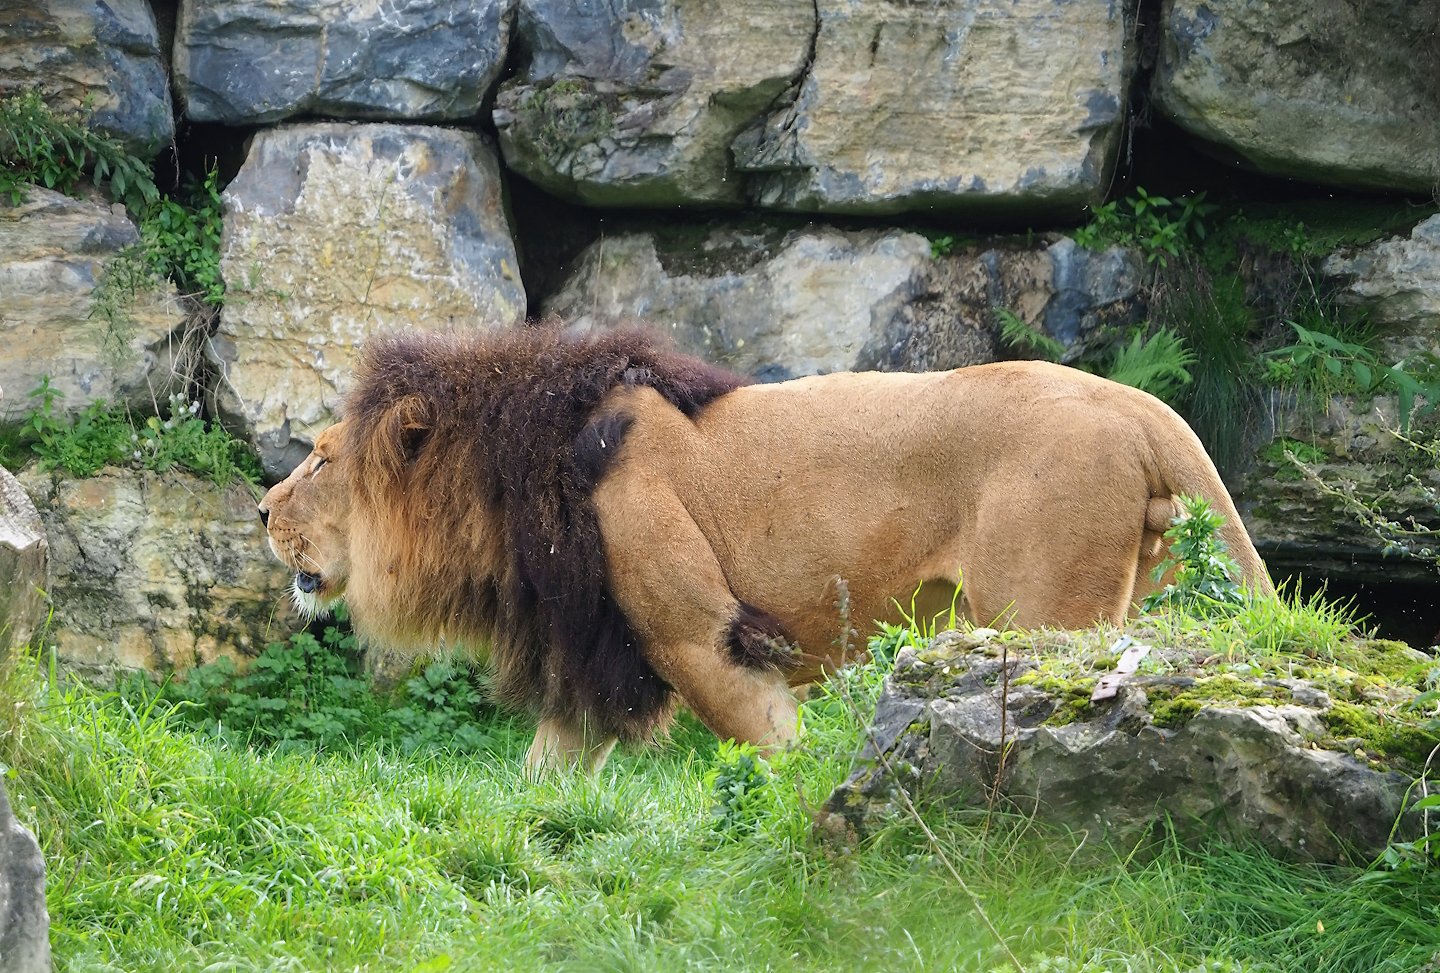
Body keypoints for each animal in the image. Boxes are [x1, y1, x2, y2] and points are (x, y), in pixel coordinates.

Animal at [258, 327, 1271, 774]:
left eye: (321, 457)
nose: (262, 508)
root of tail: (1139, 405)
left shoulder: (698, 633)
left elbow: (766, 743)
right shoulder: (599, 651)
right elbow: (545, 776)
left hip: (1041, 616)